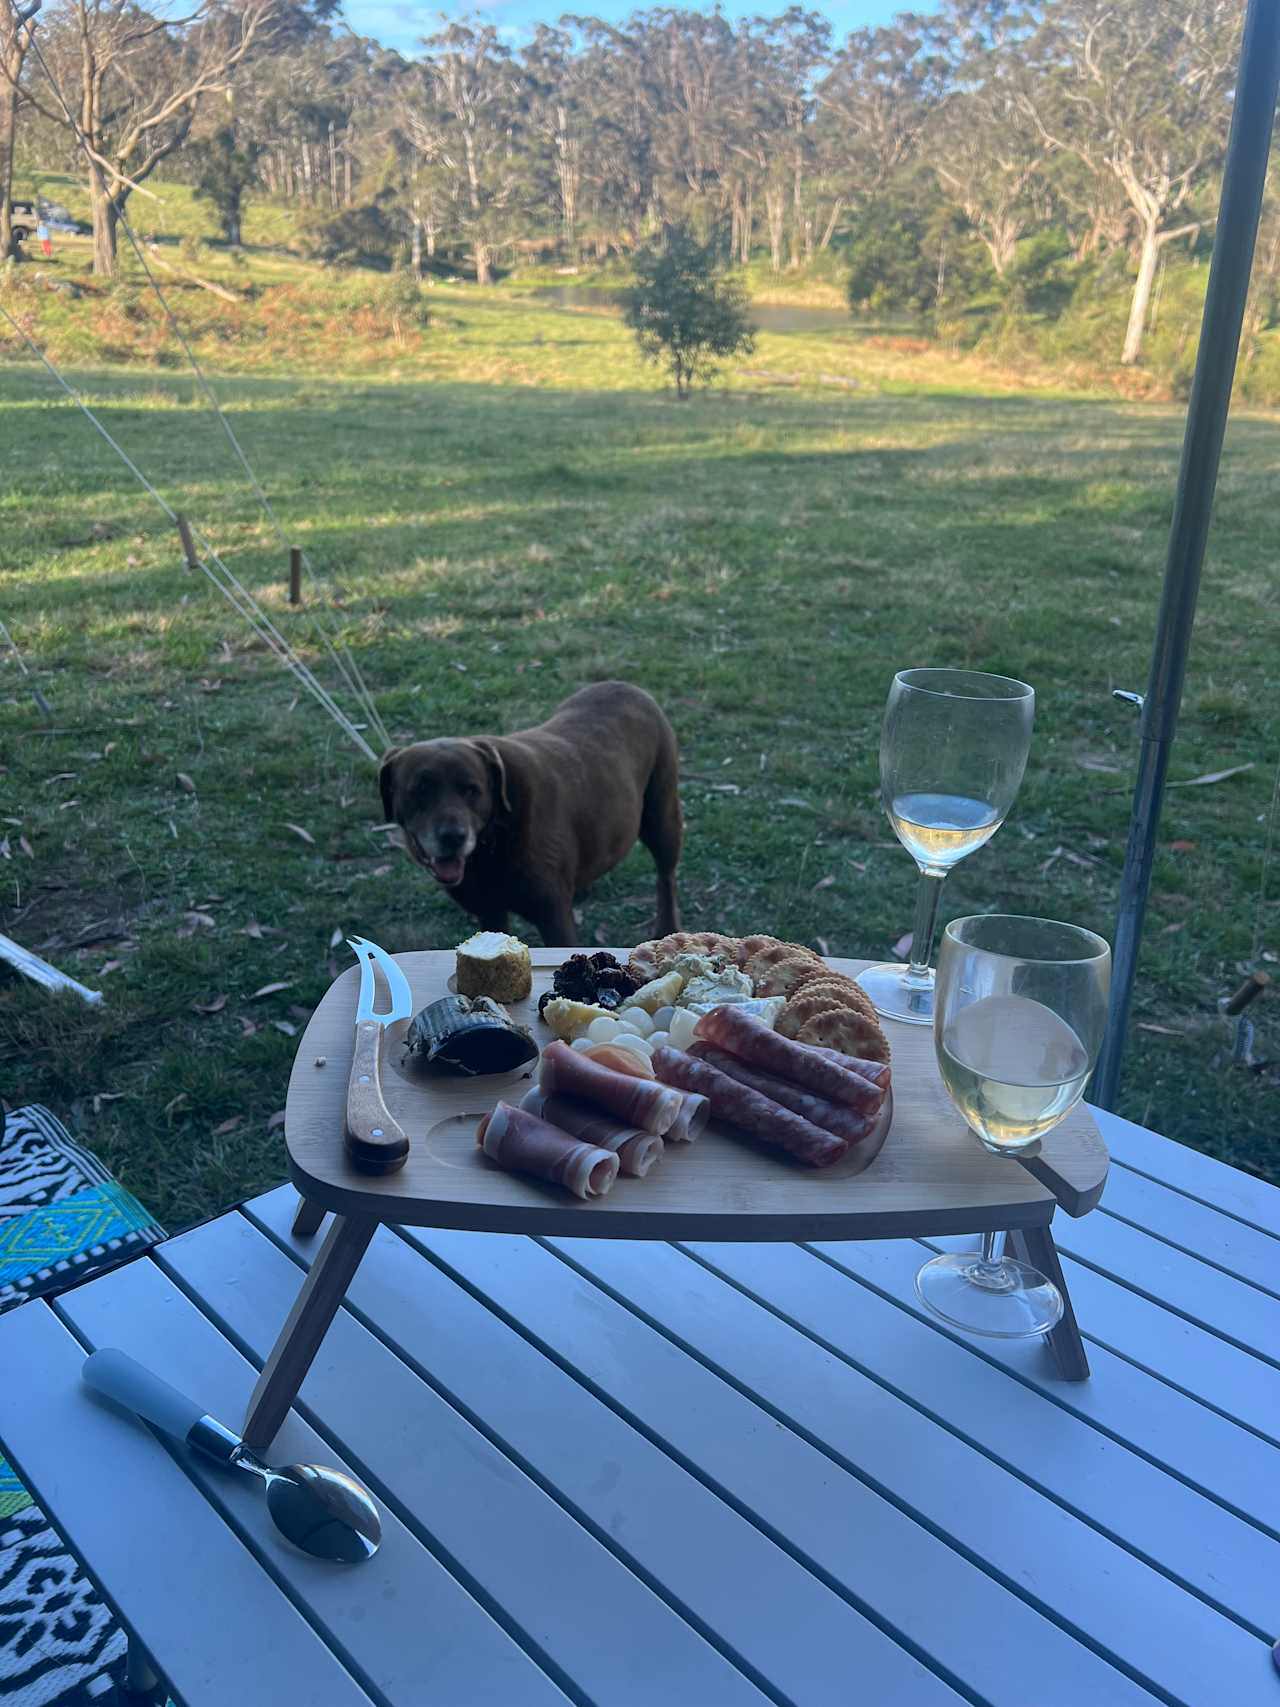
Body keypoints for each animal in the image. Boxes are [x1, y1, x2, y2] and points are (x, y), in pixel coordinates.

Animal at [378, 679, 682, 949]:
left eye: (472, 790)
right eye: (419, 790)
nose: (453, 837)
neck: (493, 840)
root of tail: (627, 686)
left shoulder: (553, 917)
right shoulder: (489, 911)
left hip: (661, 818)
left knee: (665, 876)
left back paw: (667, 928)